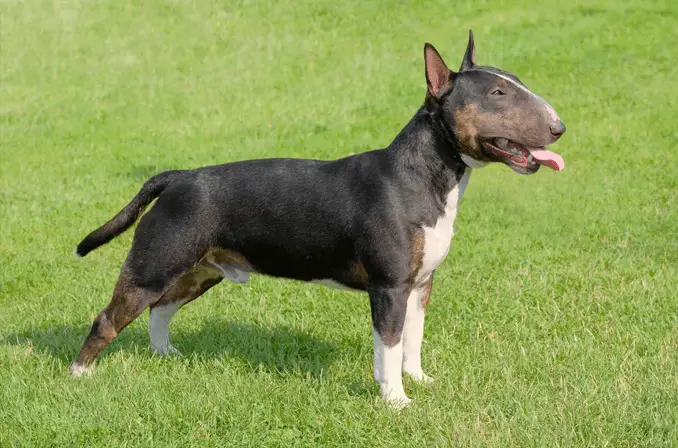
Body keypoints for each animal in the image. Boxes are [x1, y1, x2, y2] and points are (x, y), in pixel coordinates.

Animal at [70, 31, 568, 408]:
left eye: (515, 82)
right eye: (497, 94)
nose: (559, 126)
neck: (423, 177)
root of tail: (177, 178)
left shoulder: (420, 284)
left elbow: (413, 339)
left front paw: (419, 381)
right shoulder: (389, 288)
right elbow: (388, 347)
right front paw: (395, 400)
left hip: (199, 269)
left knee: (160, 309)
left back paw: (166, 354)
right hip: (154, 264)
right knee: (109, 318)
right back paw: (78, 374)